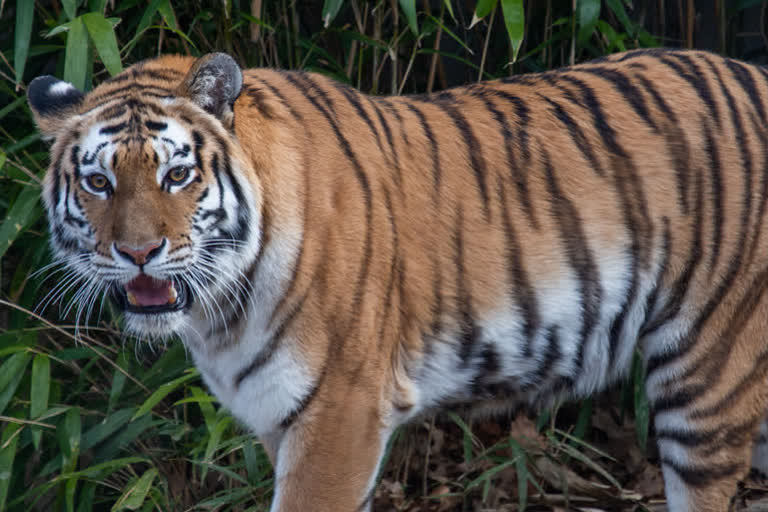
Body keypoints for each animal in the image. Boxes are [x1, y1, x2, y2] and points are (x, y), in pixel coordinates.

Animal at [28, 47, 768, 508]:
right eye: (98, 183)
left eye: (176, 174)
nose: (140, 252)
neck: (220, 312)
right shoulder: (277, 417)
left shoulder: (339, 413)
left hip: (706, 374)